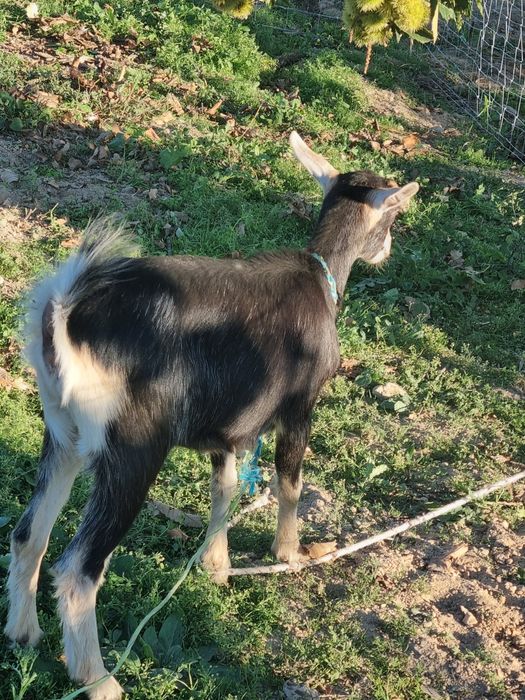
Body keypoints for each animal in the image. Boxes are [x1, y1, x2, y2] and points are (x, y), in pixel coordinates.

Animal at [5, 132, 419, 699]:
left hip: (62, 435)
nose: (388, 250)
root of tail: (66, 313)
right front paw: (288, 553)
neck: (318, 275)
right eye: (394, 214)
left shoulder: (230, 428)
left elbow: (224, 489)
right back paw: (100, 679)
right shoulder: (299, 409)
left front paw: (215, 567)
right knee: (78, 571)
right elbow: (290, 482)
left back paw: (23, 633)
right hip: (132, 450)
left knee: (29, 534)